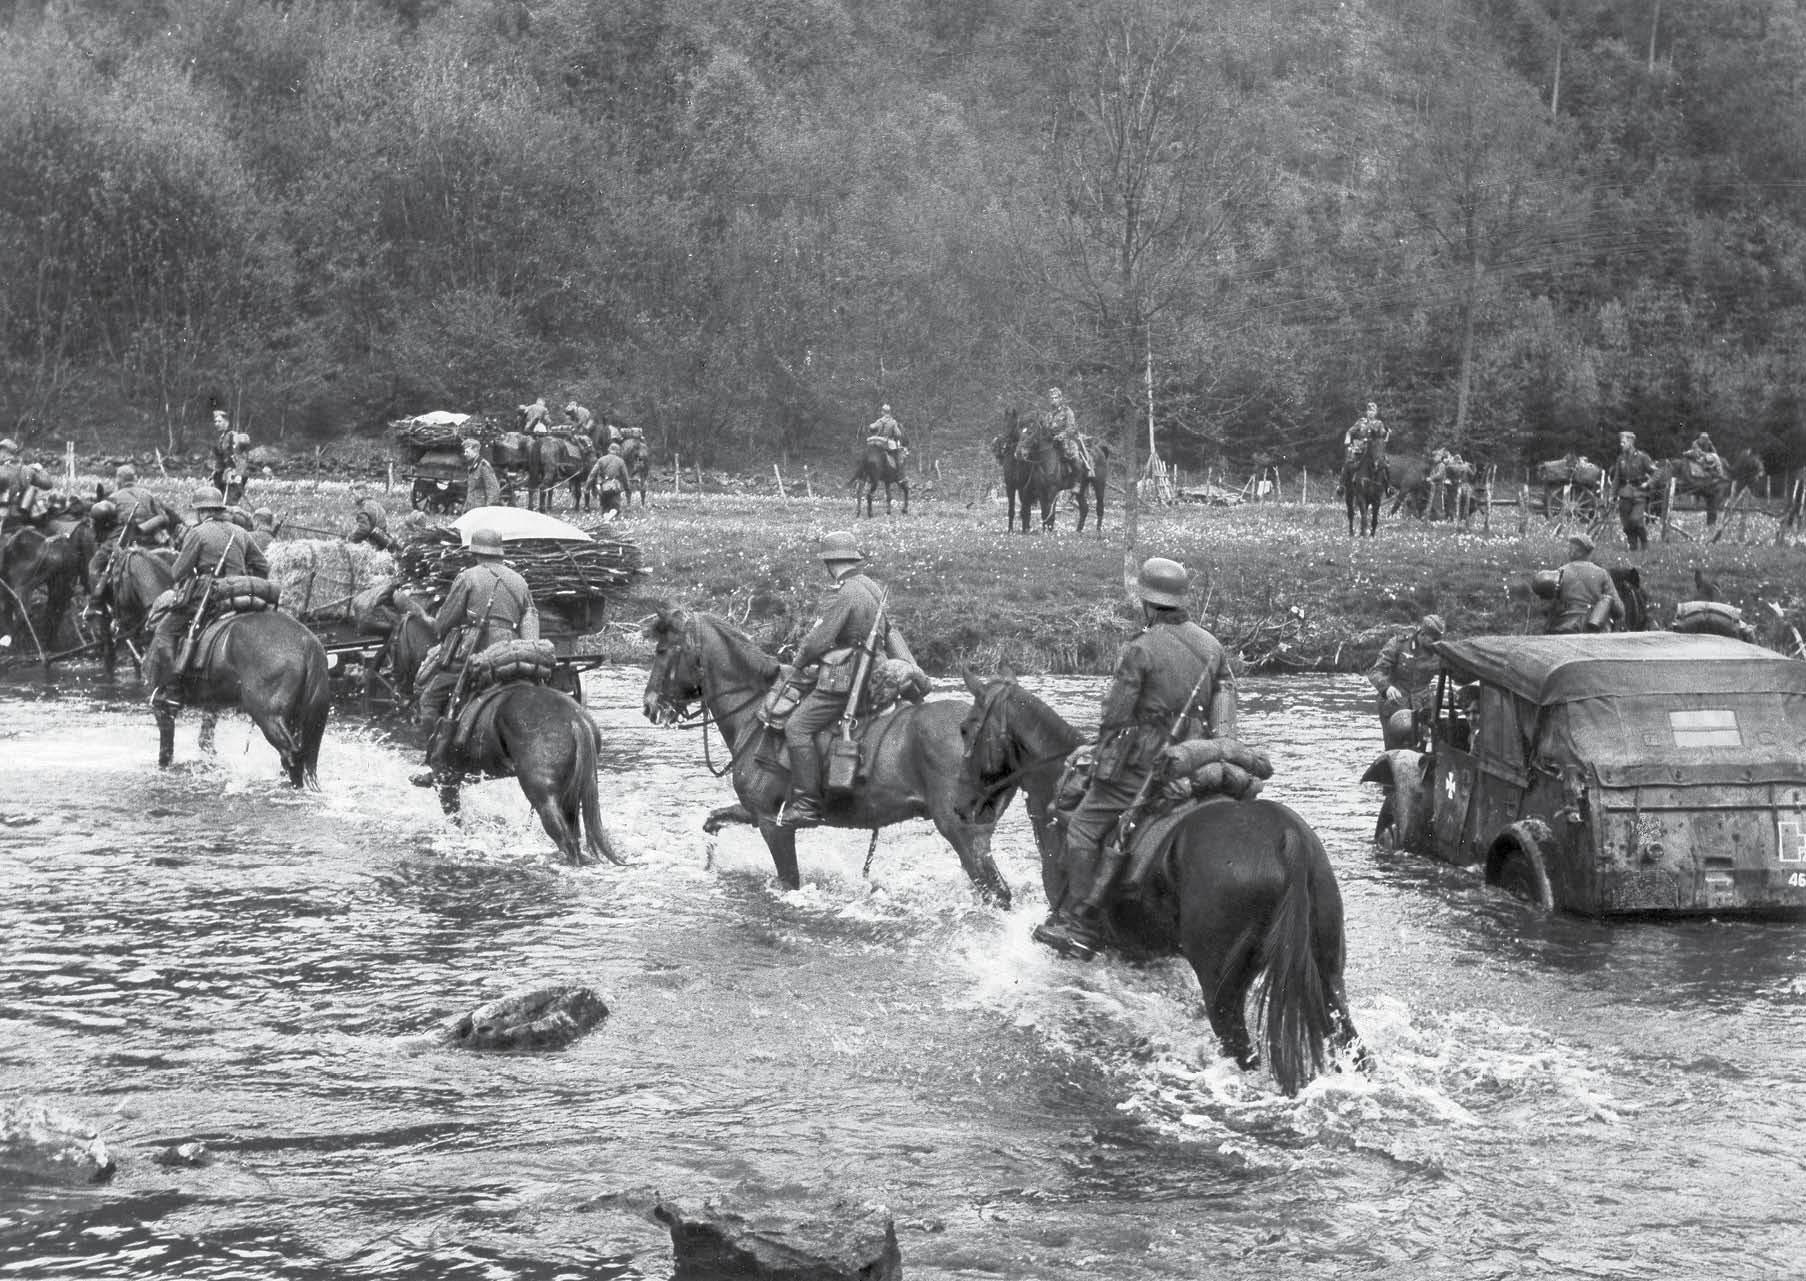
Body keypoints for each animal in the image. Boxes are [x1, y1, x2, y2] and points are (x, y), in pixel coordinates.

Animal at [110, 545, 332, 784]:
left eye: (114, 579)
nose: (115, 626)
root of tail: (307, 642)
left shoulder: (163, 707)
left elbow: (166, 752)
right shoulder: (211, 704)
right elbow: (206, 744)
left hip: (268, 716)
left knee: (291, 756)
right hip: (297, 718)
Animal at [429, 675, 628, 863]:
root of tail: (576, 720)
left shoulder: (445, 779)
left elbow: (454, 817)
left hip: (543, 796)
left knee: (564, 838)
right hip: (570, 795)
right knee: (574, 833)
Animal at [646, 603, 1018, 903]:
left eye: (663, 650)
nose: (650, 706)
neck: (755, 711)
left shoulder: (772, 824)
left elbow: (789, 881)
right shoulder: (754, 813)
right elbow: (712, 822)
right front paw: (709, 866)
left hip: (963, 833)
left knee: (996, 892)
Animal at [953, 668, 1358, 1098]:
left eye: (966, 728)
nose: (960, 806)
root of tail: (1286, 838)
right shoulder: (1143, 952)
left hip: (1222, 990)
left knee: (1242, 1051)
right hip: (1328, 975)